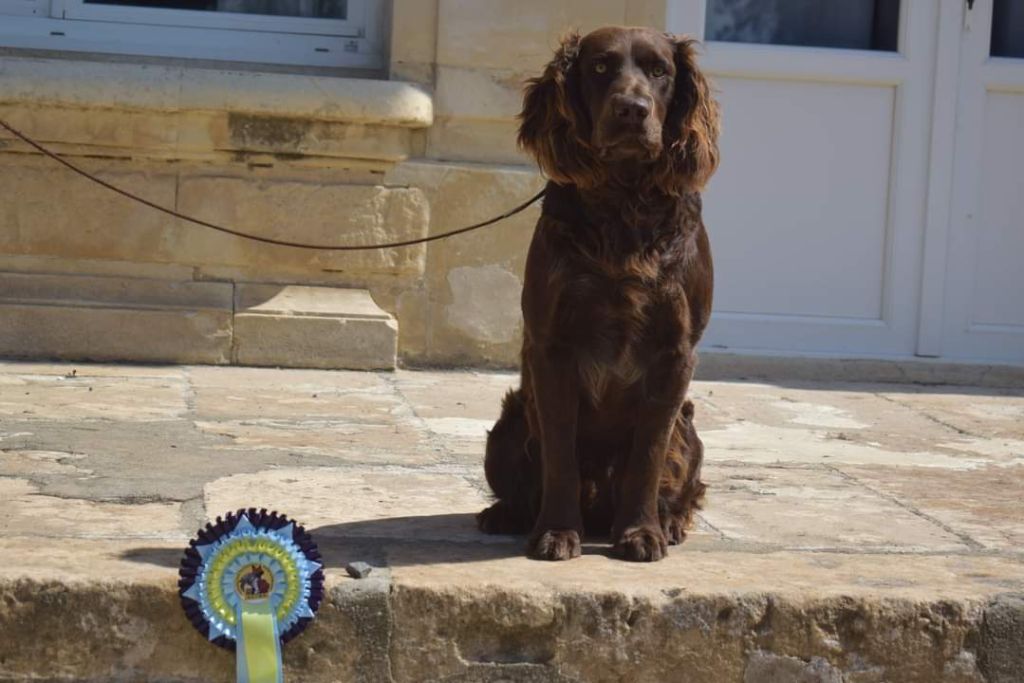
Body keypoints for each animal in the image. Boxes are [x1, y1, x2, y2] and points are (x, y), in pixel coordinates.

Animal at [477, 26, 719, 562]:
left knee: (684, 486)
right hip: (507, 427)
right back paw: (506, 515)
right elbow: (560, 452)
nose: (632, 109)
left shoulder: (676, 352)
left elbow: (648, 455)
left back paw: (669, 522)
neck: (623, 202)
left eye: (659, 71)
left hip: (688, 429)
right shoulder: (552, 346)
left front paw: (641, 533)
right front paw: (556, 532)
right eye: (601, 67)